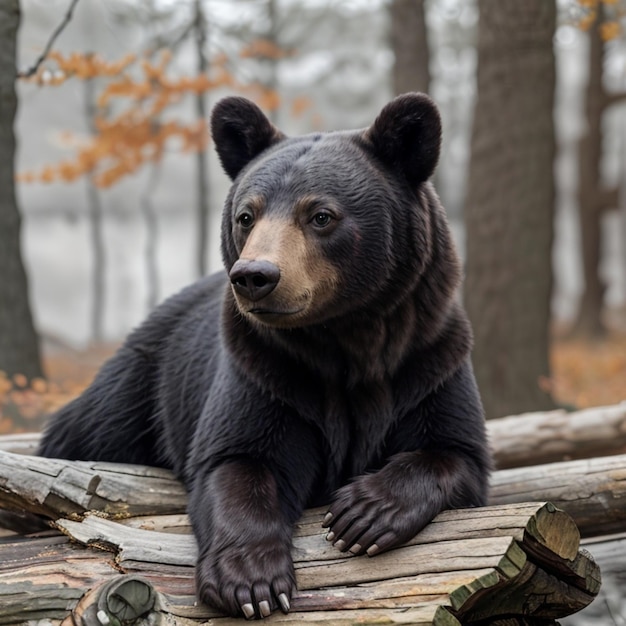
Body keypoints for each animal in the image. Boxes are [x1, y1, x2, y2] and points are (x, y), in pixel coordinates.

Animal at [39, 92, 490, 620]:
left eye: (321, 215)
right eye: (246, 215)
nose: (254, 275)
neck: (345, 338)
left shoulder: (428, 359)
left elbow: (455, 451)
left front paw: (361, 513)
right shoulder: (266, 372)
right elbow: (239, 459)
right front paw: (251, 582)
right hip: (143, 386)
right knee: (85, 434)